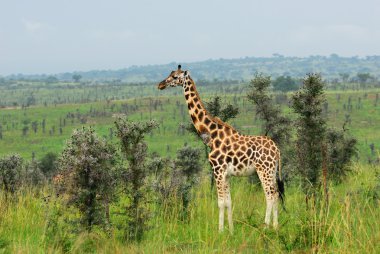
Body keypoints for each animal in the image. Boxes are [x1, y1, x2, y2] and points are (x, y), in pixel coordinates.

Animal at [156, 65, 284, 232]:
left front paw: (220, 231)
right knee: (276, 194)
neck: (211, 135)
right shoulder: (226, 174)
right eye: (170, 74)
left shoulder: (218, 170)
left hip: (264, 169)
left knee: (270, 195)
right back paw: (276, 227)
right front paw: (231, 230)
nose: (160, 85)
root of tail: (277, 150)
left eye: (175, 77)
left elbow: (220, 202)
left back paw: (265, 227)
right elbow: (228, 202)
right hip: (272, 170)